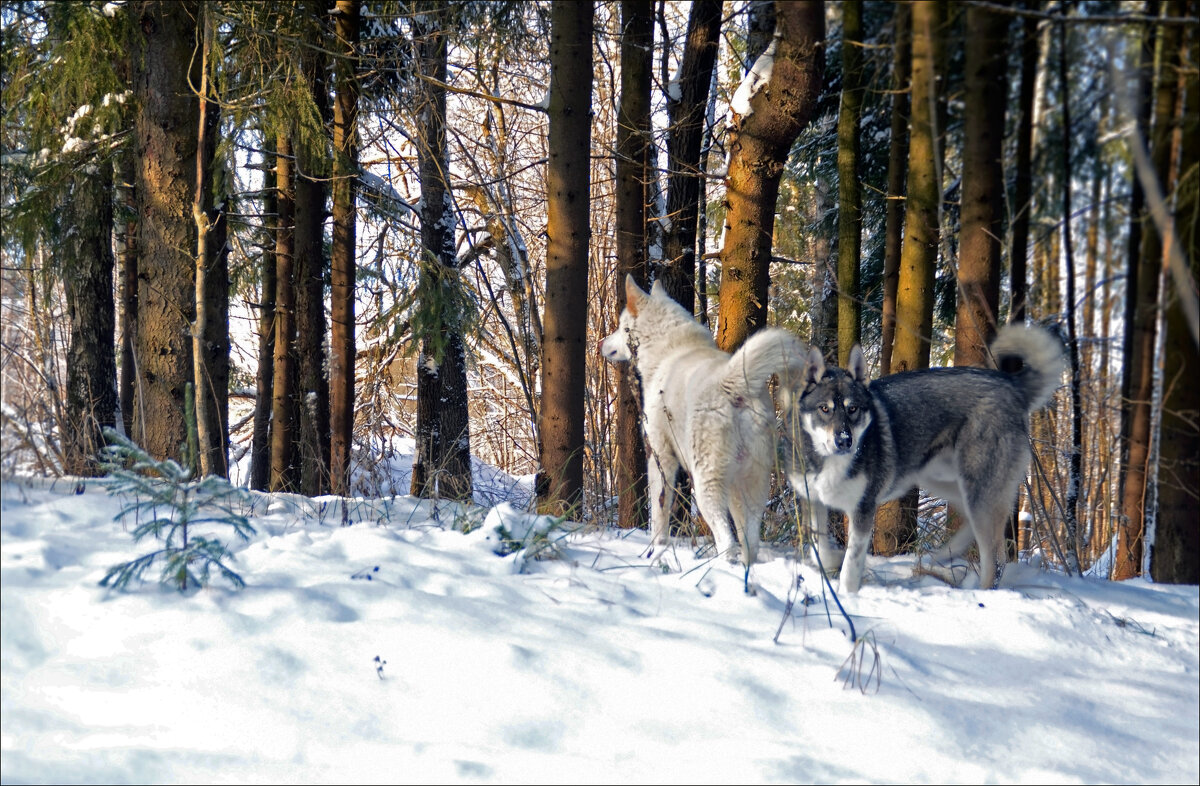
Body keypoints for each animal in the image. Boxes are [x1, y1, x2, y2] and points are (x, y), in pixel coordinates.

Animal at [600, 273, 806, 588]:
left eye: (622, 327)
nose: (601, 344)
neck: (669, 350)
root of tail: (731, 384)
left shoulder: (661, 456)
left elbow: (659, 511)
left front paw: (655, 550)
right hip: (750, 483)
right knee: (749, 541)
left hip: (707, 483)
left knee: (726, 541)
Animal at [782, 324, 1065, 592]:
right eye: (824, 408)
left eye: (852, 409)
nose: (844, 441)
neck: (828, 463)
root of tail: (1012, 385)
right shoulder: (813, 500)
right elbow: (820, 548)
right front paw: (831, 563)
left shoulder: (863, 509)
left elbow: (851, 565)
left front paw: (847, 595)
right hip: (943, 482)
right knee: (970, 525)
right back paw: (941, 557)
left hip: (978, 491)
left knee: (995, 559)